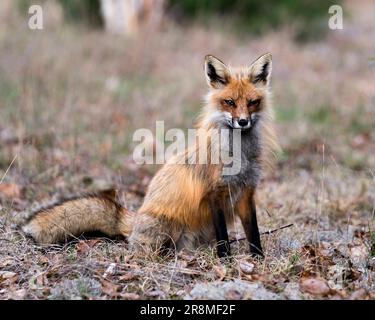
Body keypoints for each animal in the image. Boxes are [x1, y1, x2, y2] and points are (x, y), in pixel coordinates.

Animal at [21, 52, 280, 258]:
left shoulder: (247, 191)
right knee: (139, 246)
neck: (240, 155)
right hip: (169, 227)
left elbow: (253, 233)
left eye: (253, 102)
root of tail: (135, 218)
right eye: (229, 102)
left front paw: (258, 259)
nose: (243, 122)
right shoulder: (213, 192)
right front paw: (226, 261)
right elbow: (224, 238)